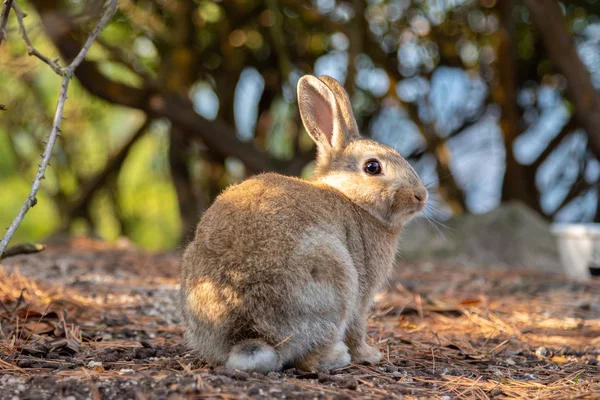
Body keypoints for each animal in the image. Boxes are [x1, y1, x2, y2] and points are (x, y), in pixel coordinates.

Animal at [180, 74, 428, 372]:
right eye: (372, 167)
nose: (421, 196)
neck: (354, 200)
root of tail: (247, 333)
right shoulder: (361, 294)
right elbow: (357, 328)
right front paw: (369, 355)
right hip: (334, 275)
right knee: (308, 357)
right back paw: (336, 357)